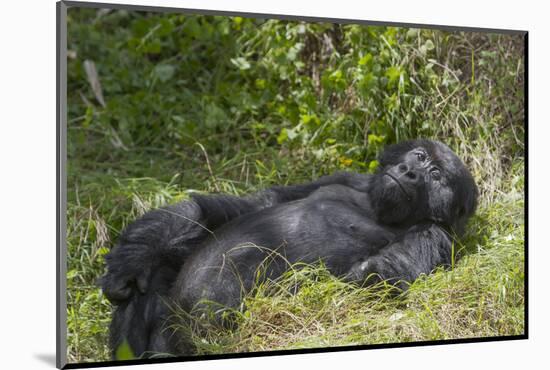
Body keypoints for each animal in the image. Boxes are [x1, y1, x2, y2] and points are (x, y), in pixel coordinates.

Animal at [101, 139, 480, 358]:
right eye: (418, 156)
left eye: (435, 175)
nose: (411, 171)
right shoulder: (341, 178)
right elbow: (249, 206)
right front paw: (137, 252)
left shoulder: (435, 234)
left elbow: (377, 278)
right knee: (152, 280)